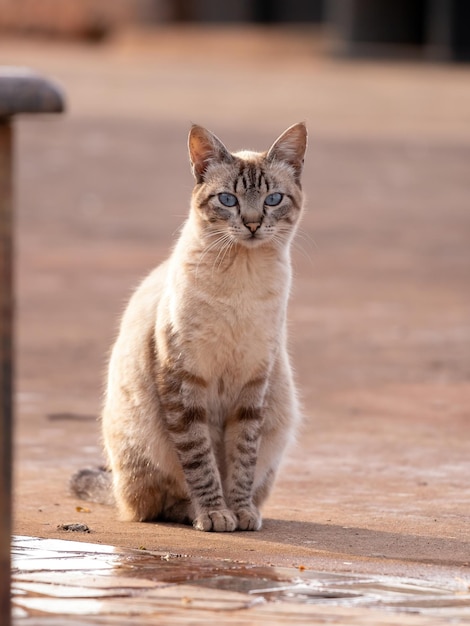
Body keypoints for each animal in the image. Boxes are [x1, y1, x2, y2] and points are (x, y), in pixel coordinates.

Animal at [70, 123, 306, 532]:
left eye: (273, 199)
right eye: (228, 200)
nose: (252, 223)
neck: (243, 278)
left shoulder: (252, 384)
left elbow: (241, 462)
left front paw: (239, 512)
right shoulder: (184, 381)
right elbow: (201, 462)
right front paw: (215, 514)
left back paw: (246, 511)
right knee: (153, 505)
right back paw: (192, 512)